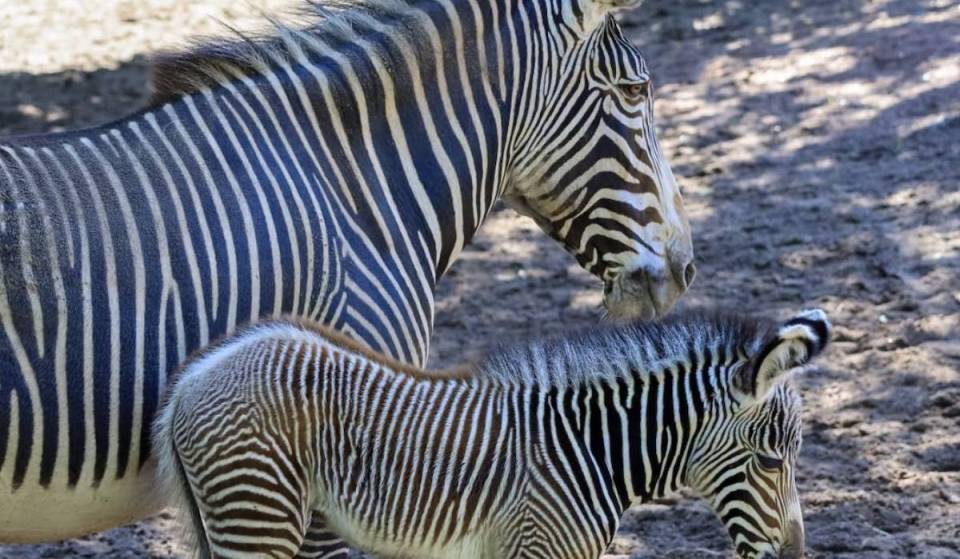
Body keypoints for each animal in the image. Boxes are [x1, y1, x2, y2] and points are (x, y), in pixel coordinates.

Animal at [155, 308, 831, 559]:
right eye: (772, 463)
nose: (798, 557)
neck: (591, 450)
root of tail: (193, 378)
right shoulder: (538, 549)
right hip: (258, 515)